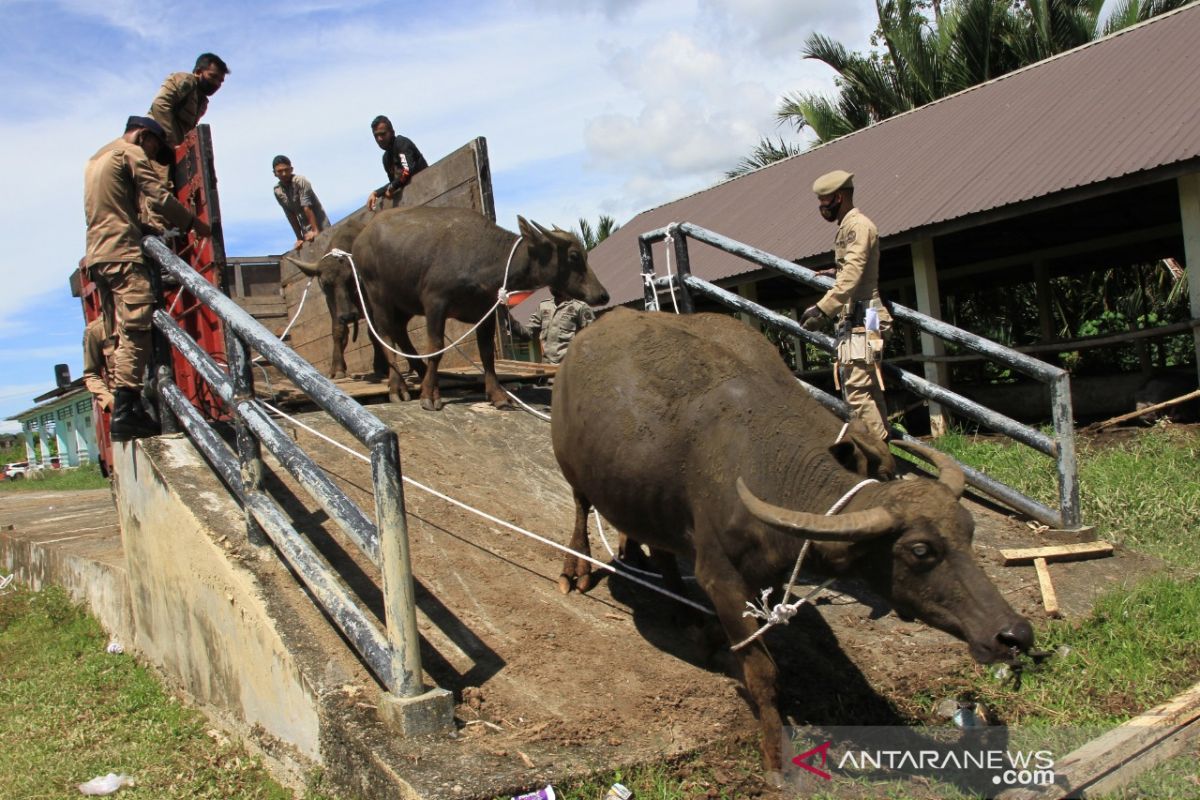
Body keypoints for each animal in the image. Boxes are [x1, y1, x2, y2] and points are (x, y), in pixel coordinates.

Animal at [338, 206, 609, 410]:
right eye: (574, 256)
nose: (602, 294)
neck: (485, 259)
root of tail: (360, 240)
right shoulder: (435, 302)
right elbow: (436, 348)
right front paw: (429, 395)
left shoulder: (485, 312)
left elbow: (487, 353)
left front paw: (498, 395)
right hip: (378, 295)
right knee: (384, 336)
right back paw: (398, 387)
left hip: (404, 303)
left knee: (399, 332)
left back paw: (422, 372)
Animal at [552, 309, 1032, 777]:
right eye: (919, 551)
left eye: (969, 530)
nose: (1015, 634)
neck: (772, 466)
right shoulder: (721, 576)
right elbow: (763, 673)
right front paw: (775, 756)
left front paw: (706, 633)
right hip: (571, 465)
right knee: (580, 506)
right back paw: (576, 570)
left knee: (658, 546)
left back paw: (673, 599)